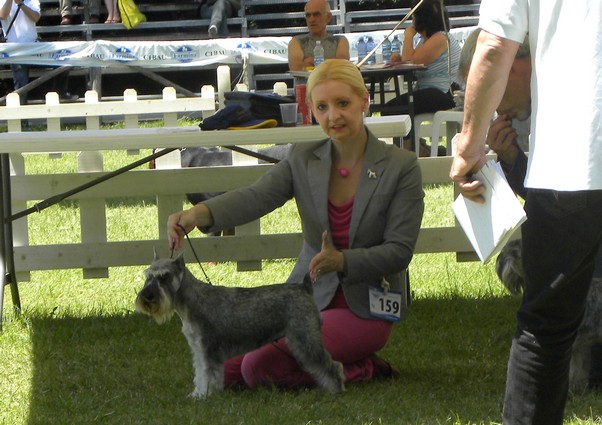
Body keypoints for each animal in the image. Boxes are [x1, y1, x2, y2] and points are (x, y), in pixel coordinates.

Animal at [135, 252, 345, 398]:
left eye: (165, 277)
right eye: (148, 276)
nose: (148, 296)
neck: (191, 301)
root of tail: (304, 287)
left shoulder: (209, 349)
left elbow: (208, 374)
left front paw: (206, 395)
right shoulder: (199, 350)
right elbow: (200, 373)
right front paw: (198, 393)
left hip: (305, 339)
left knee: (331, 365)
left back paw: (336, 389)